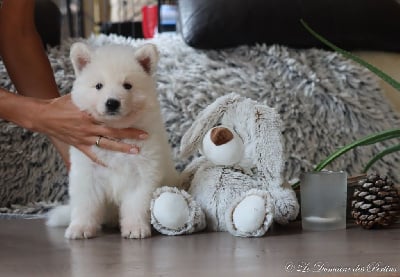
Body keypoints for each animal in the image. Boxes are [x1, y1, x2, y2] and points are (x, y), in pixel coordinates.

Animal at [46, 42, 179, 238]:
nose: (112, 102)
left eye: (128, 85)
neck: (116, 132)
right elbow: (85, 204)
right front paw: (80, 227)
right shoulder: (88, 173)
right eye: (98, 86)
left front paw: (135, 228)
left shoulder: (143, 173)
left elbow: (136, 204)